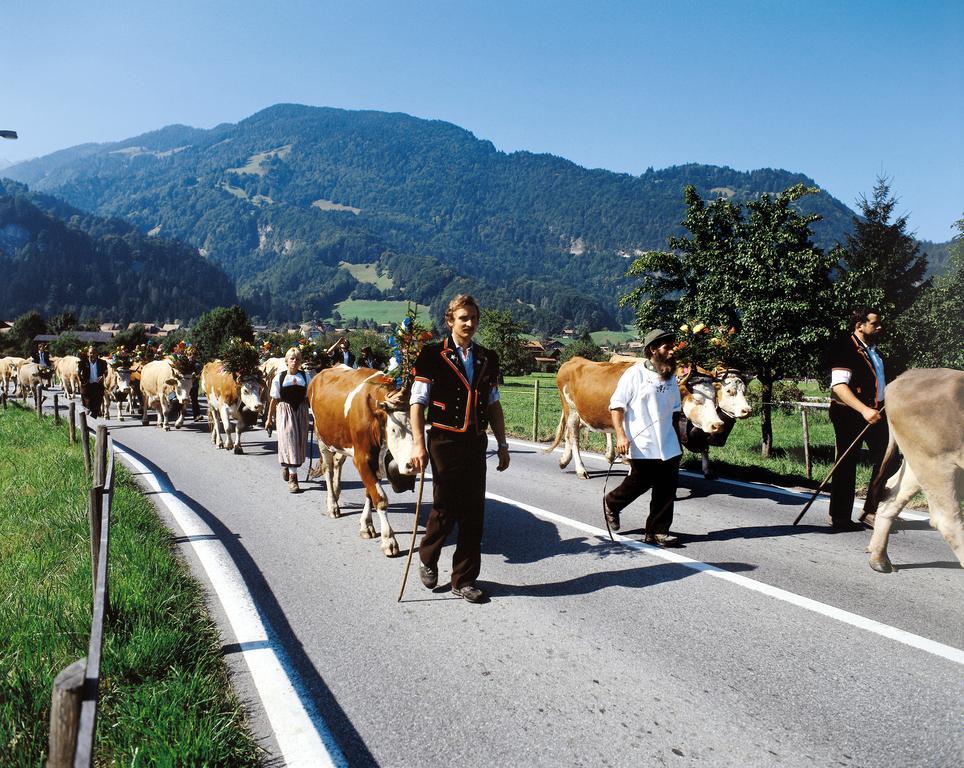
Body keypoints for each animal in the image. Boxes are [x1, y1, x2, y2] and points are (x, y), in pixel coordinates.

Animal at [306, 368, 416, 560]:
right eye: (394, 429)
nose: (412, 465)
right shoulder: (361, 459)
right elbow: (380, 498)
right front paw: (389, 540)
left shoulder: (374, 460)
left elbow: (369, 493)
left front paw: (367, 525)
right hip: (322, 438)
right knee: (328, 469)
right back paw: (332, 504)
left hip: (340, 442)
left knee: (338, 463)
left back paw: (336, 493)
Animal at [544, 356, 724, 476]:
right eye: (698, 399)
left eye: (715, 397)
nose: (718, 424)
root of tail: (573, 360)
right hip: (572, 410)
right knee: (574, 436)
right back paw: (581, 469)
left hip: (584, 413)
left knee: (568, 434)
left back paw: (564, 461)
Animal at [868, 368, 964, 572]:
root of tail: (908, 375)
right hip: (936, 463)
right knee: (946, 520)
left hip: (917, 463)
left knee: (892, 496)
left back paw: (879, 559)